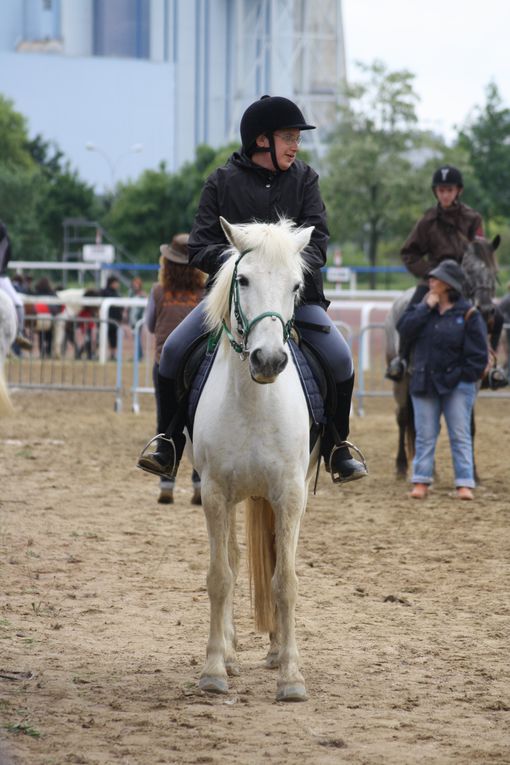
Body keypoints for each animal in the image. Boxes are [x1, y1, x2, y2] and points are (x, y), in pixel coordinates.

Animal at [191, 218, 318, 700]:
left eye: (297, 285)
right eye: (242, 280)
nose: (269, 360)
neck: (254, 400)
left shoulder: (290, 494)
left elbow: (286, 581)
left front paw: (292, 676)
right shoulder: (213, 493)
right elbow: (220, 576)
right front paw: (213, 670)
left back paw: (277, 651)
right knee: (231, 558)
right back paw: (229, 654)